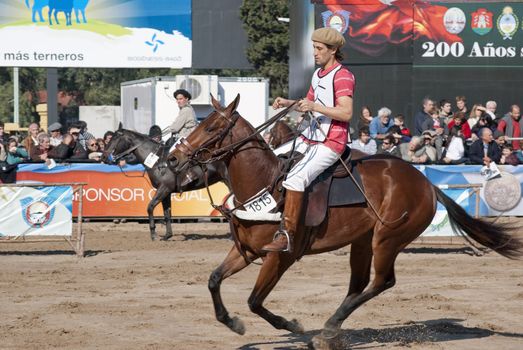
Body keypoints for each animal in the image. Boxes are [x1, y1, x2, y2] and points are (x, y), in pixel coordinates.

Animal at [170, 94, 520, 348]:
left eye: (211, 128)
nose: (173, 158)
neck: (264, 182)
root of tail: (427, 184)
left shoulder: (280, 257)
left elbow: (255, 301)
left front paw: (293, 325)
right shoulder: (245, 251)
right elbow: (214, 280)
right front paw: (233, 322)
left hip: (387, 239)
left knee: (382, 281)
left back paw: (327, 330)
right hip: (362, 241)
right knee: (359, 284)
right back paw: (333, 328)